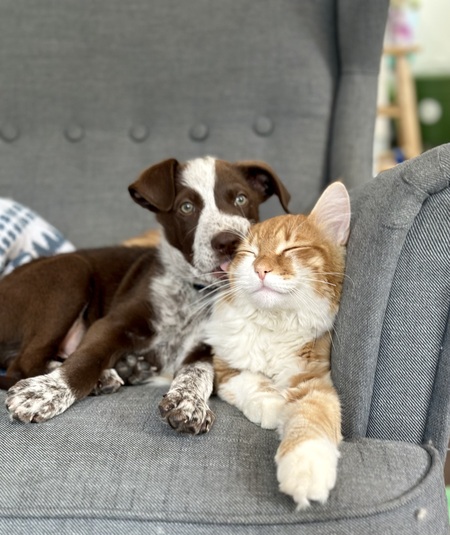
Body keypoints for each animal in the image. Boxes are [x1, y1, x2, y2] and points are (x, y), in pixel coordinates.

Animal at [0, 157, 290, 434]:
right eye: (186, 207)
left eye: (241, 199)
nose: (229, 242)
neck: (192, 291)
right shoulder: (111, 324)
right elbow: (86, 359)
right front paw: (46, 391)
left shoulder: (207, 346)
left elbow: (198, 371)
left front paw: (189, 402)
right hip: (71, 270)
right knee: (22, 364)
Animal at [205, 182, 352, 508]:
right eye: (249, 254)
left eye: (291, 249)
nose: (260, 269)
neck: (275, 324)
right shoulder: (223, 367)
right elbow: (251, 379)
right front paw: (271, 403)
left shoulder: (315, 379)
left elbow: (311, 420)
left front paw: (306, 469)